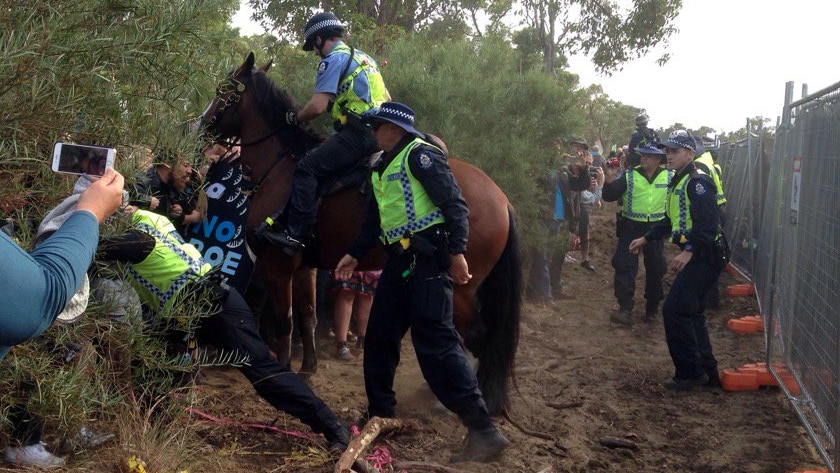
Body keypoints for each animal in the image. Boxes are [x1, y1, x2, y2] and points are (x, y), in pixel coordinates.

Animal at [201, 52, 520, 412]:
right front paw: (308, 368)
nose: (200, 124)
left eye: (224, 90)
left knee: (478, 337)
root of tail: (502, 200)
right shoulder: (305, 266)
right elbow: (308, 317)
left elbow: (285, 322)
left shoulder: (277, 266)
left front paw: (281, 371)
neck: (281, 168)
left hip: (462, 290)